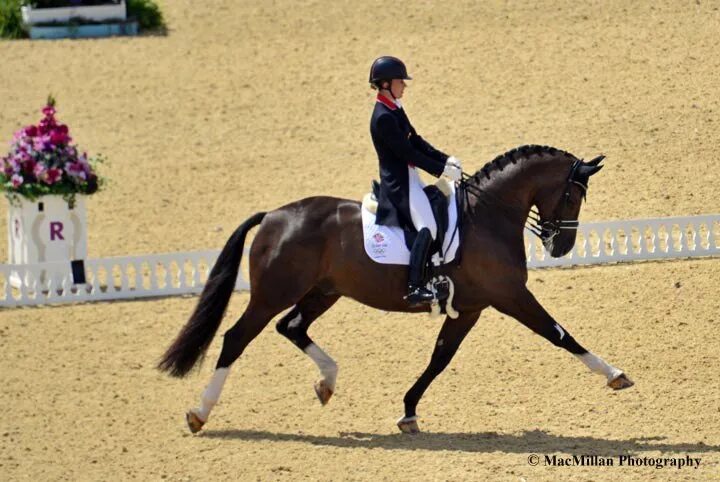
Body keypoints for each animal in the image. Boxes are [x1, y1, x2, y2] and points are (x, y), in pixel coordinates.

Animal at [156, 143, 632, 434]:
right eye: (572, 196)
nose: (560, 246)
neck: (486, 216)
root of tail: (274, 215)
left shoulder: (471, 308)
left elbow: (439, 358)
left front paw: (408, 411)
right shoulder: (510, 296)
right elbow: (559, 334)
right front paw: (614, 374)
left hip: (324, 291)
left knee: (291, 327)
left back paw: (327, 382)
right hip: (273, 293)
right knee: (236, 338)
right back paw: (199, 413)